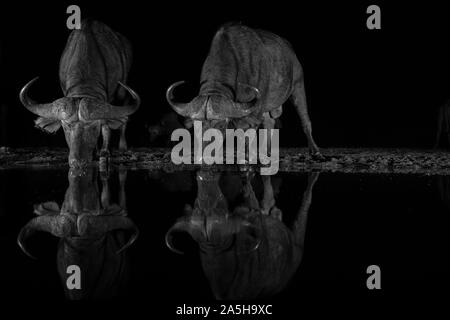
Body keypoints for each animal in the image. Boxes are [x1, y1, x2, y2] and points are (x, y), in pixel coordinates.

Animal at [19, 19, 141, 169]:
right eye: (65, 125)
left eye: (94, 126)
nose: (78, 162)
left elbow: (106, 126)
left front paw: (105, 152)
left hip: (123, 92)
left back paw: (122, 147)